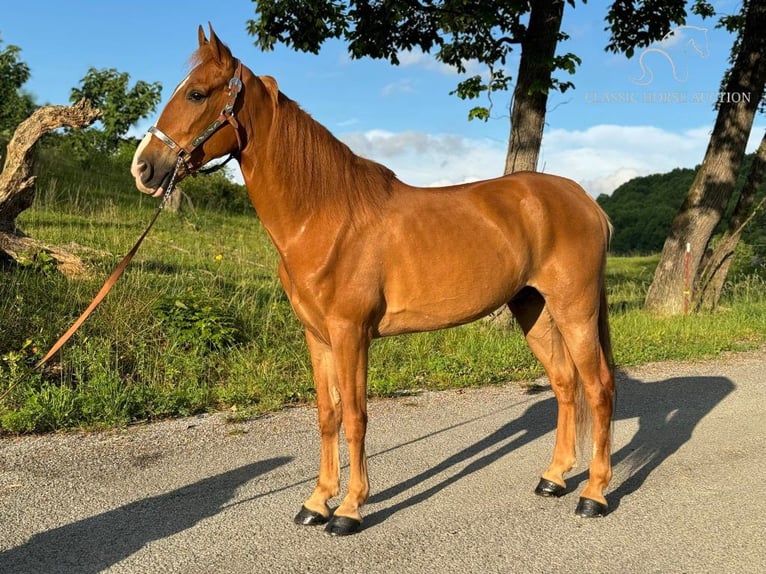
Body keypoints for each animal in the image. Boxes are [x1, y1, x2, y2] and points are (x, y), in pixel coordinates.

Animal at [132, 24, 616, 536]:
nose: (143, 167)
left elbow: (355, 415)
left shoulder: (351, 334)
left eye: (197, 93)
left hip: (575, 309)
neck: (325, 216)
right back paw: (554, 478)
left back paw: (594, 494)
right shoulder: (318, 336)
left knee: (598, 387)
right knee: (564, 384)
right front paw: (316, 502)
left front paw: (348, 509)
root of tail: (587, 202)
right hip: (533, 308)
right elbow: (327, 415)